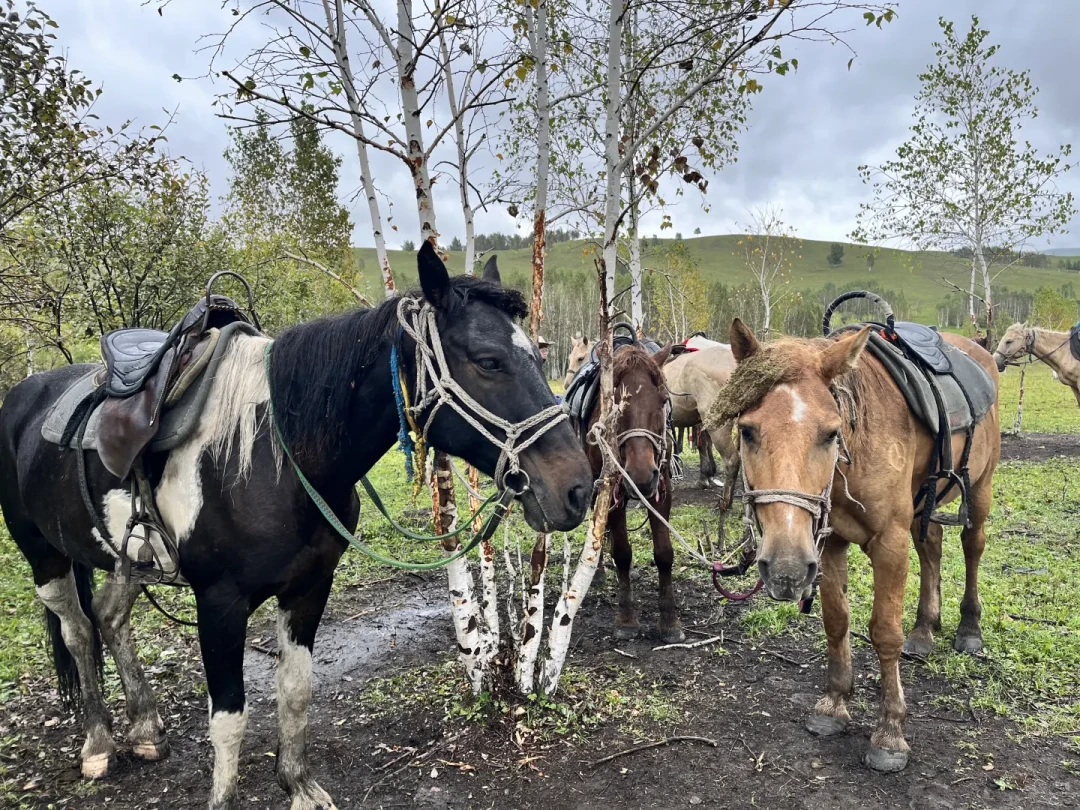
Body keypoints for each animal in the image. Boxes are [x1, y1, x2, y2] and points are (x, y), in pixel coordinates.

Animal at [0, 244, 593, 810]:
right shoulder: (219, 603)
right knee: (78, 631)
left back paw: (144, 728)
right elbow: (229, 719)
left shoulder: (310, 587)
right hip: (43, 556)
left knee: (109, 615)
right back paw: (98, 744)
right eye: (489, 361)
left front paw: (299, 786)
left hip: (128, 558)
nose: (579, 489)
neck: (277, 455)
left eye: (539, 355)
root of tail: (24, 395)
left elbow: (296, 690)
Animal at [577, 343, 683, 642]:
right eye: (613, 403)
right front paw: (626, 619)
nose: (641, 475)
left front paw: (669, 622)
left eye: (662, 399)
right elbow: (622, 553)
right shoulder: (611, 490)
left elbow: (664, 554)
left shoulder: (661, 491)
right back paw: (598, 571)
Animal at [713, 318, 999, 772]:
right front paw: (834, 704)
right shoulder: (828, 544)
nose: (786, 569)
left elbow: (884, 632)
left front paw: (890, 731)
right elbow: (836, 621)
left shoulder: (889, 543)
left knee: (972, 547)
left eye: (831, 433)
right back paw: (924, 628)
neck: (855, 453)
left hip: (981, 489)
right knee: (932, 547)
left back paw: (969, 628)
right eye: (747, 430)